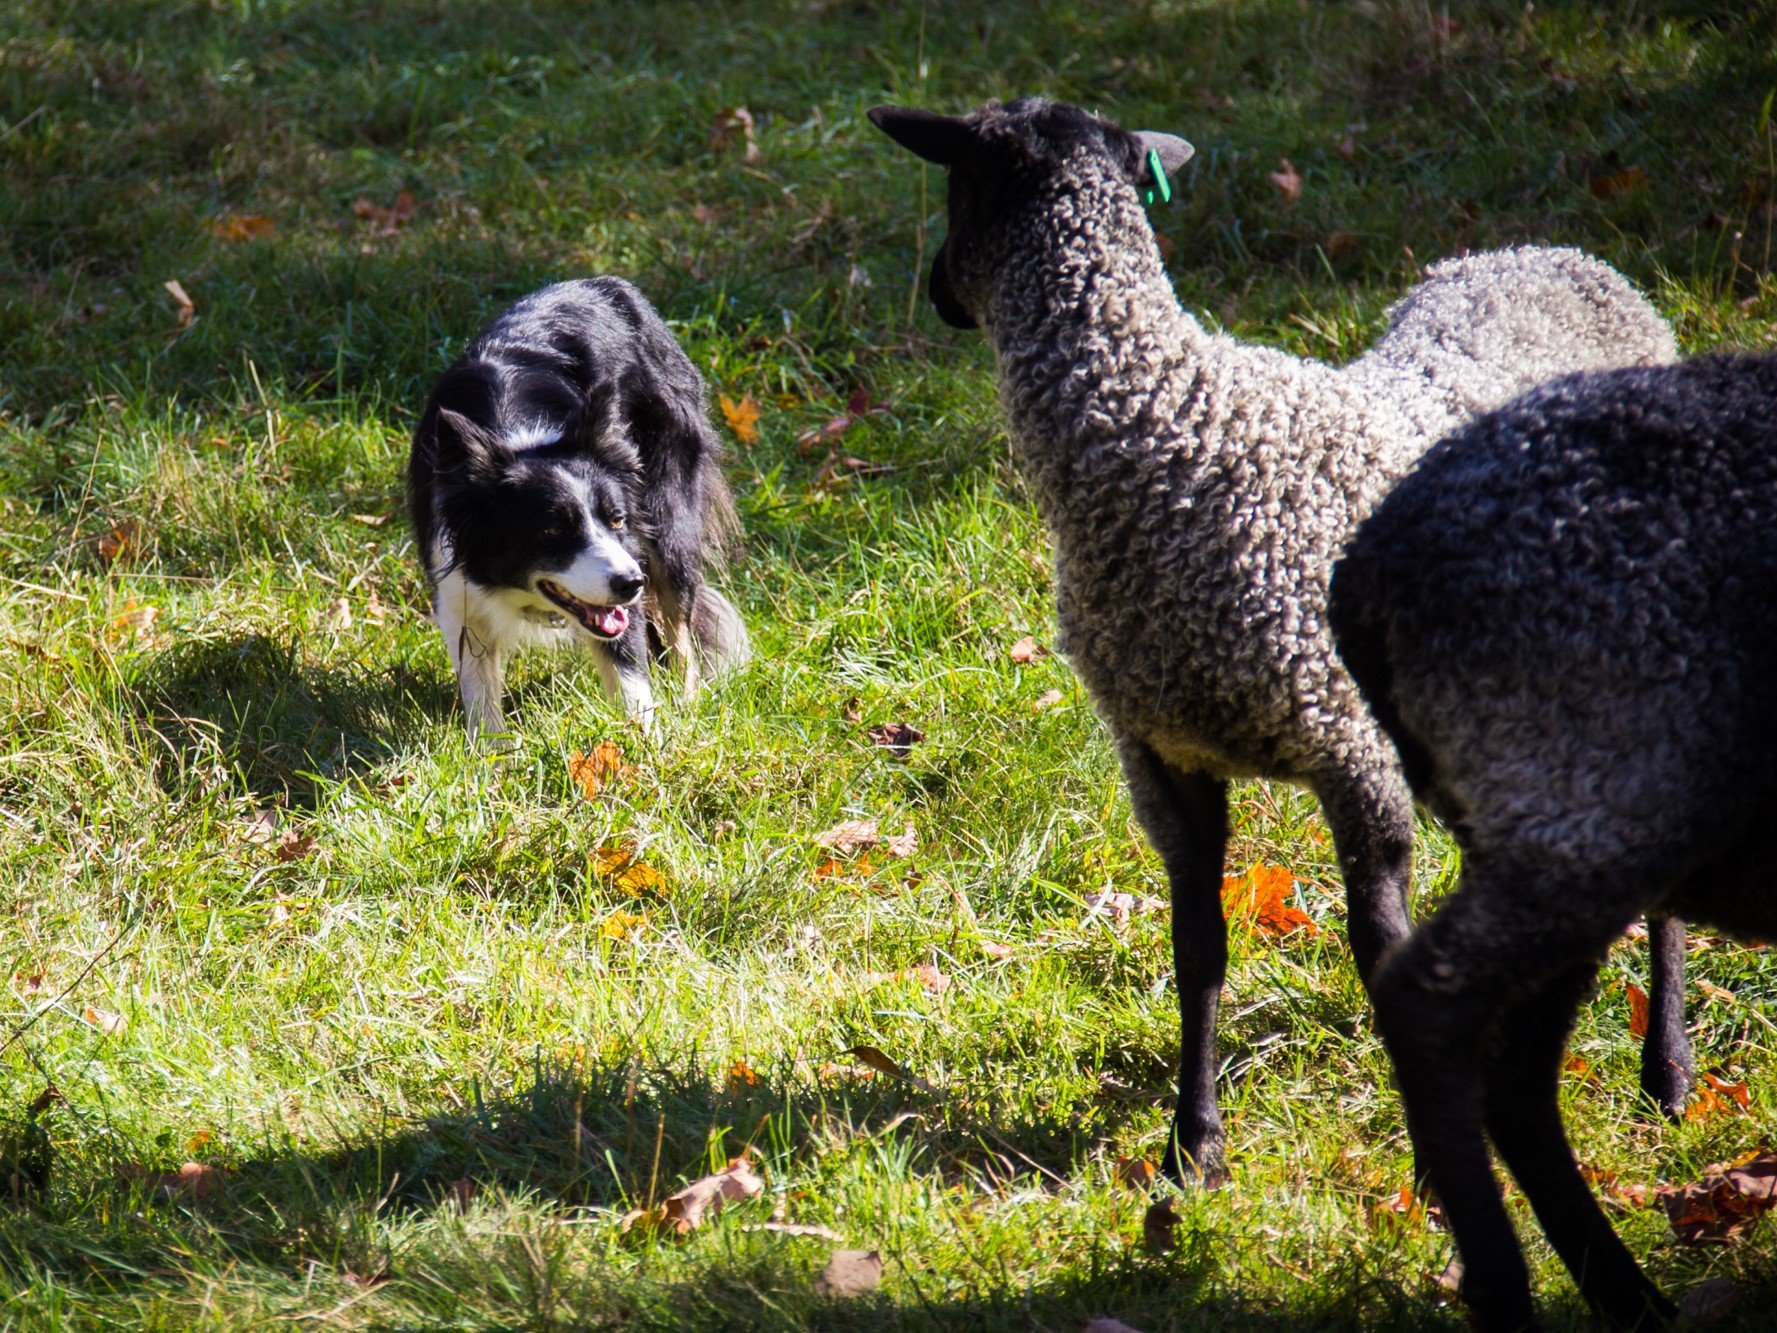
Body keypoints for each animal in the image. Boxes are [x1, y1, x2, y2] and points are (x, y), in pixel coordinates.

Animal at [410, 279, 749, 742]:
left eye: (617, 519)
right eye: (552, 531)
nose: (631, 583)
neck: (520, 439)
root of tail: (607, 284)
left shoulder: (627, 562)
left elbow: (630, 676)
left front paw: (647, 746)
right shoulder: (456, 579)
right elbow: (479, 683)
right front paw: (493, 754)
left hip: (668, 503)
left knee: (678, 610)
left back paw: (689, 703)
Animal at [870, 96, 1677, 1180]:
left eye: (956, 184)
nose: (934, 293)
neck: (1163, 432)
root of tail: (1573, 262)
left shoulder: (1350, 751)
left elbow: (1377, 949)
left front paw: (1432, 1167)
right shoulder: (1162, 758)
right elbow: (1197, 946)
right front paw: (1194, 1145)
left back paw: (1664, 1075)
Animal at [1336, 351, 1777, 1333]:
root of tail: (1367, 569)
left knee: (1512, 1075)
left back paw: (1628, 1297)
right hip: (1597, 789)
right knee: (1430, 1001)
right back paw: (1509, 1289)